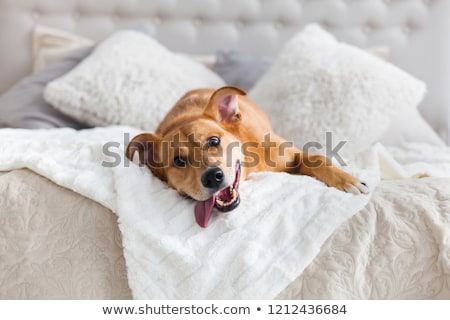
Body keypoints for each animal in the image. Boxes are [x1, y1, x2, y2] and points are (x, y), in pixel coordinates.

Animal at [125, 85, 368, 228]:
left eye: (214, 141)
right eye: (178, 161)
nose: (212, 177)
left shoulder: (291, 155)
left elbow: (317, 159)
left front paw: (347, 180)